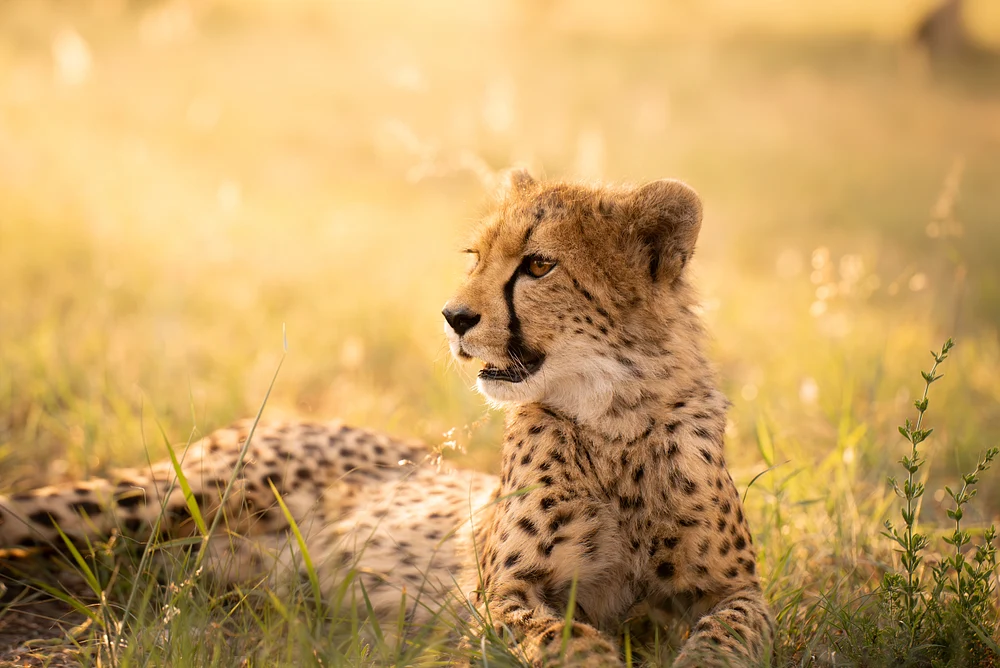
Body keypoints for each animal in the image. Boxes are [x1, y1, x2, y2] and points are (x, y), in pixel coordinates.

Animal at [0, 170, 772, 667]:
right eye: (476, 256)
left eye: (538, 265)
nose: (454, 316)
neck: (615, 419)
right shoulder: (504, 591)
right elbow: (566, 641)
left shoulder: (734, 588)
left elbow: (738, 630)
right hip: (161, 496)